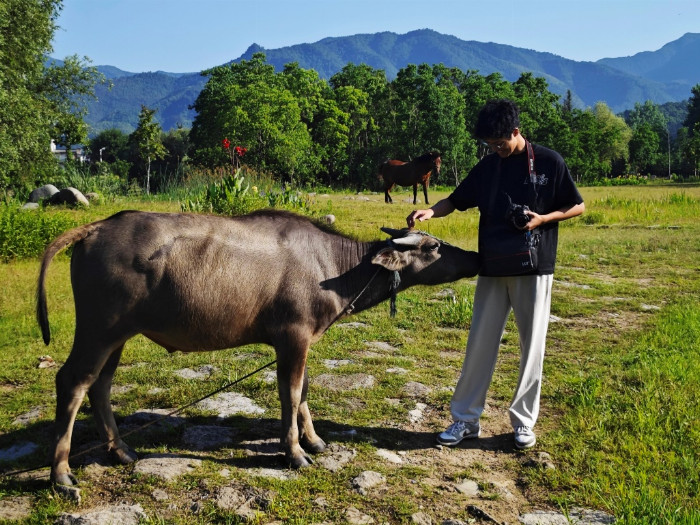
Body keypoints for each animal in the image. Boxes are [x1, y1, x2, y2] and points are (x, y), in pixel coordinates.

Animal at [35, 208, 478, 484]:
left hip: (118, 336)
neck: (333, 267)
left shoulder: (301, 342)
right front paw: (295, 452)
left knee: (100, 385)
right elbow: (291, 393)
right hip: (98, 330)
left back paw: (121, 450)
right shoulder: (293, 337)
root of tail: (96, 227)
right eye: (434, 246)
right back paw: (61, 474)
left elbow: (304, 392)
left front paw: (314, 440)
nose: (474, 256)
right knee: (72, 382)